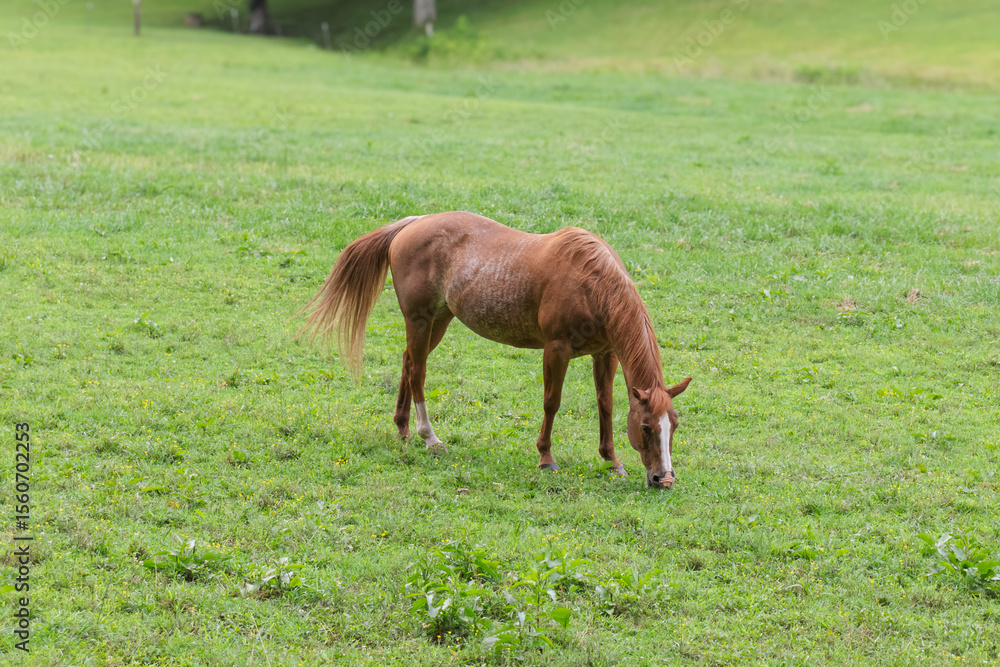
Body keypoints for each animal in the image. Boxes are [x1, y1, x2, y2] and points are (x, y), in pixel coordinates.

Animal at [297, 212, 692, 489]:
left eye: (673, 425)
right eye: (645, 427)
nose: (664, 479)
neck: (590, 282)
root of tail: (413, 223)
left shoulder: (605, 353)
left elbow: (606, 406)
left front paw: (612, 461)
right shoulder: (556, 349)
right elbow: (551, 403)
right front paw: (546, 458)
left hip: (440, 319)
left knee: (408, 362)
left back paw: (403, 429)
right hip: (420, 319)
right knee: (417, 371)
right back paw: (429, 437)